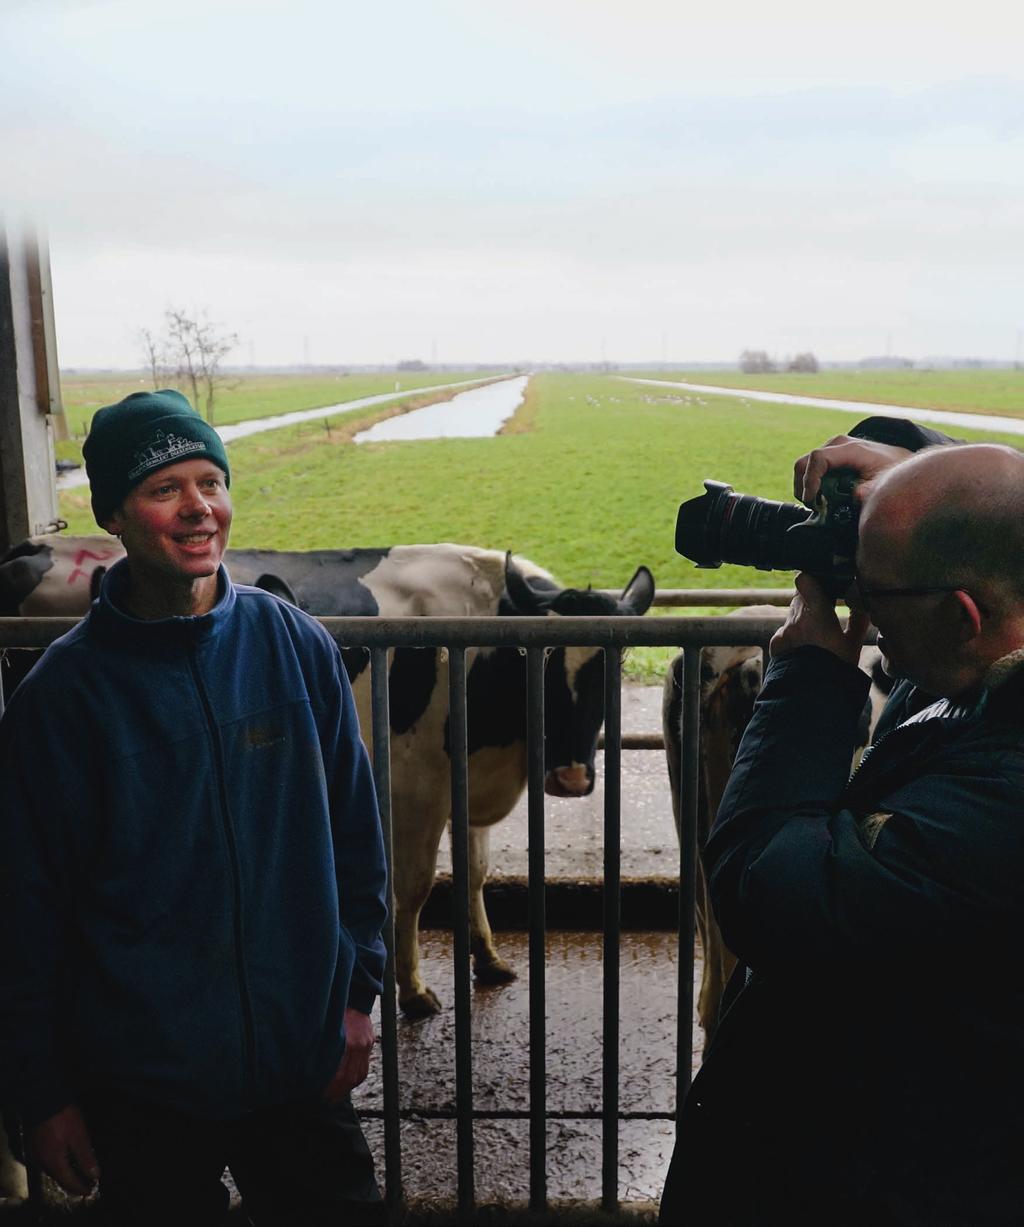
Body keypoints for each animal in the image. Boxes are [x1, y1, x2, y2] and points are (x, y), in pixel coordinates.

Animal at [0, 537, 657, 1015]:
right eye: (536, 660)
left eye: (616, 661)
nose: (571, 776)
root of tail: (34, 546)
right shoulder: (416, 786)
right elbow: (415, 887)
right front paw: (413, 990)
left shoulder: (465, 779)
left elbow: (474, 872)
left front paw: (488, 959)